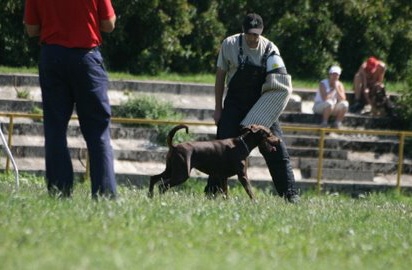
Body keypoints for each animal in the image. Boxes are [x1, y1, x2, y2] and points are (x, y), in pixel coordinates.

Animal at [148, 124, 280, 198]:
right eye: (269, 134)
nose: (279, 140)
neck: (243, 144)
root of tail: (174, 146)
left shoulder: (223, 177)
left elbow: (225, 193)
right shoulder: (242, 175)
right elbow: (250, 191)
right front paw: (255, 203)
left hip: (171, 169)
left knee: (154, 178)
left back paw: (150, 197)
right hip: (181, 173)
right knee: (163, 185)